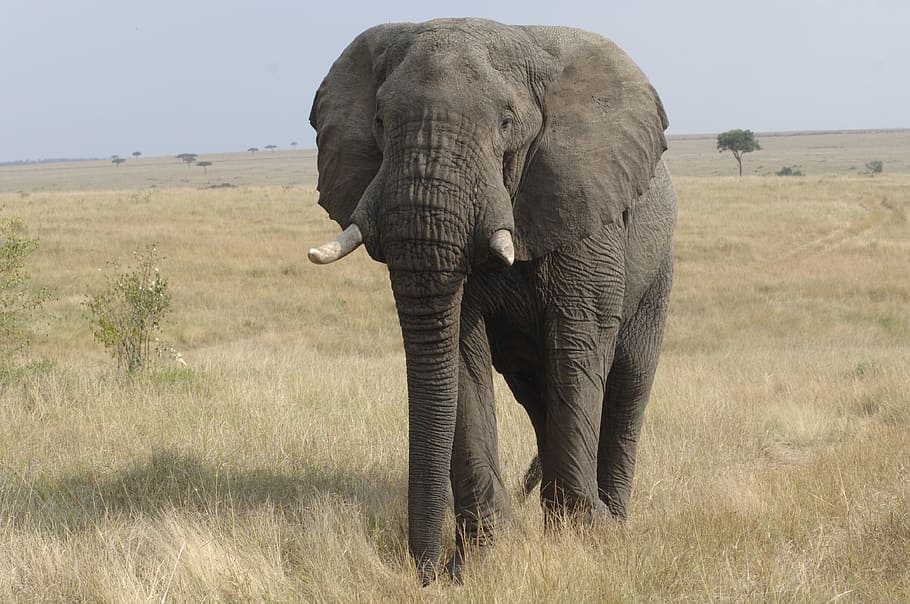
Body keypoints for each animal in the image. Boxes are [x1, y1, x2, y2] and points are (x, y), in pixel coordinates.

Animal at [307, 18, 676, 584]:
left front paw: (583, 544)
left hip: (658, 268)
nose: (428, 573)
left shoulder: (584, 203)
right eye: (379, 121)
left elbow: (578, 344)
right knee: (535, 392)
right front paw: (484, 557)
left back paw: (612, 519)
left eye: (506, 122)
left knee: (629, 380)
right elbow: (459, 353)